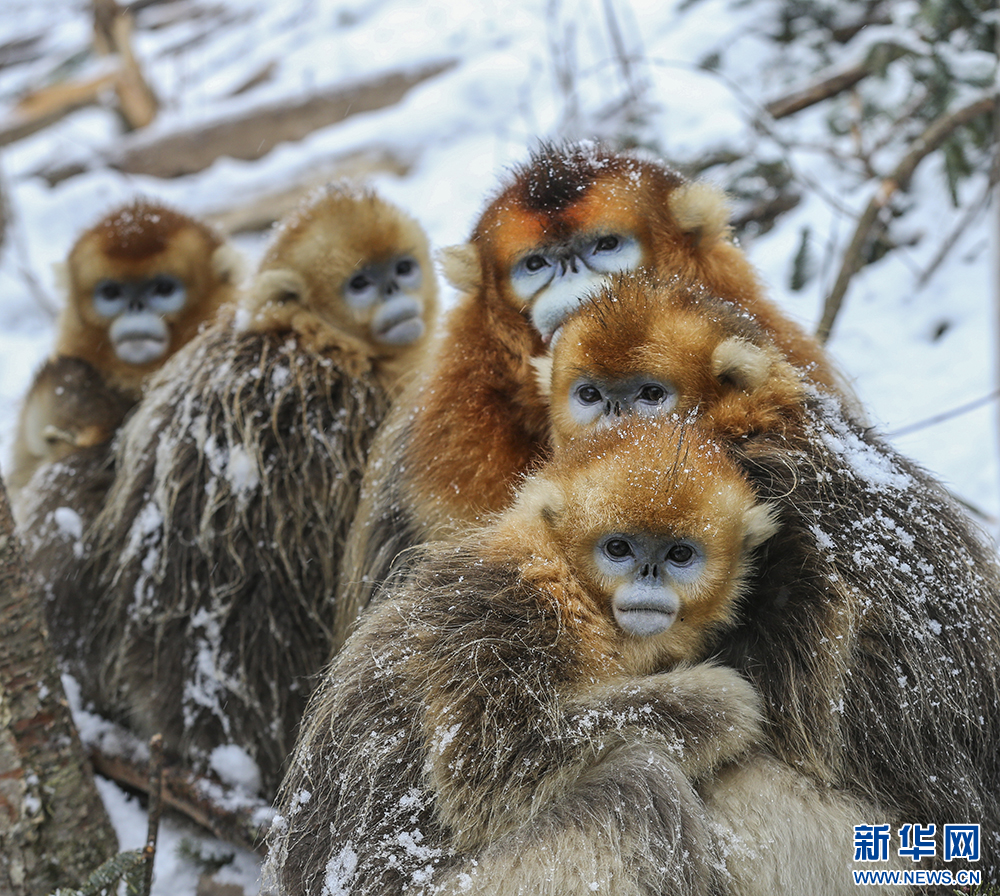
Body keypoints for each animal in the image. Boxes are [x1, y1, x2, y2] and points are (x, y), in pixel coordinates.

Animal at [264, 420, 772, 896]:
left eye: (680, 554)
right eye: (618, 548)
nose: (649, 575)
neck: (571, 582)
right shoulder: (510, 615)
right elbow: (488, 773)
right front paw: (720, 703)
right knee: (641, 784)